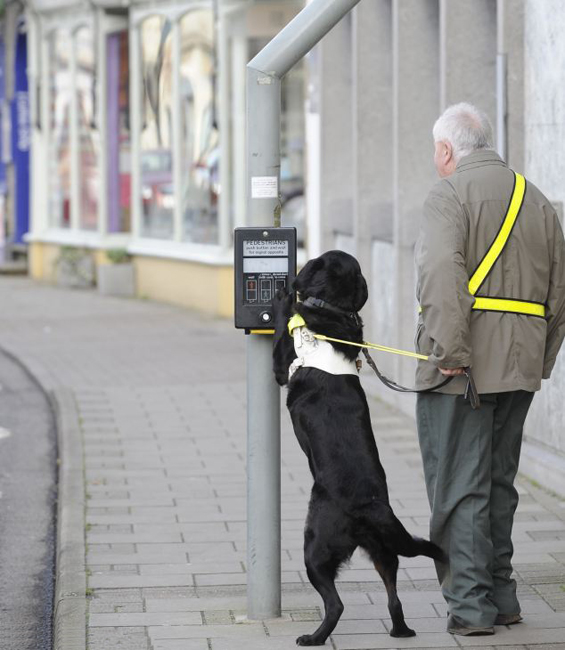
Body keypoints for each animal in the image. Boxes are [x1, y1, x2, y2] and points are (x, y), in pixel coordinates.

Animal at [272, 249, 446, 644]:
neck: (332, 310)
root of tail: (372, 507)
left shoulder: (281, 364)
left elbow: (283, 328)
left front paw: (284, 299)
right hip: (384, 552)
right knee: (395, 596)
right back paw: (401, 630)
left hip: (316, 548)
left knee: (335, 604)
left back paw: (314, 638)